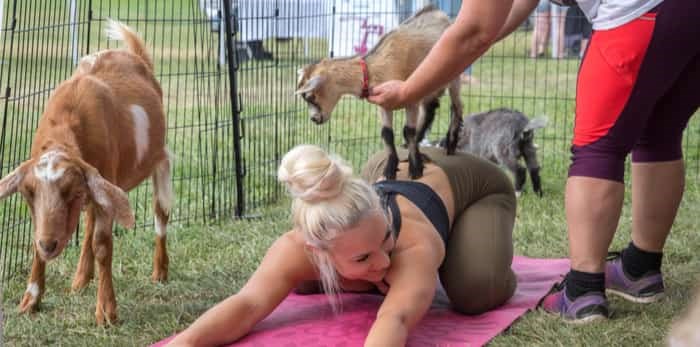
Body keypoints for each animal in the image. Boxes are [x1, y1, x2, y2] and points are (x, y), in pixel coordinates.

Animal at [0, 19, 172, 326]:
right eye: (28, 192)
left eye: (72, 190)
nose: (49, 244)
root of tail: (136, 55)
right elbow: (40, 238)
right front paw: (30, 300)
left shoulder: (105, 180)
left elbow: (102, 244)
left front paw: (106, 311)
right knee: (91, 220)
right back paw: (81, 279)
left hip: (159, 159)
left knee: (160, 213)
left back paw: (160, 271)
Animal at [296, 4, 464, 179]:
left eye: (310, 96)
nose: (314, 119)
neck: (373, 69)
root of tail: (439, 13)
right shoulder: (385, 103)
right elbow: (386, 133)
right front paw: (390, 168)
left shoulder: (410, 98)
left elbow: (407, 131)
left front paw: (415, 168)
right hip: (427, 83)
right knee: (430, 108)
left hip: (453, 74)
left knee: (456, 106)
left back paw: (451, 143)